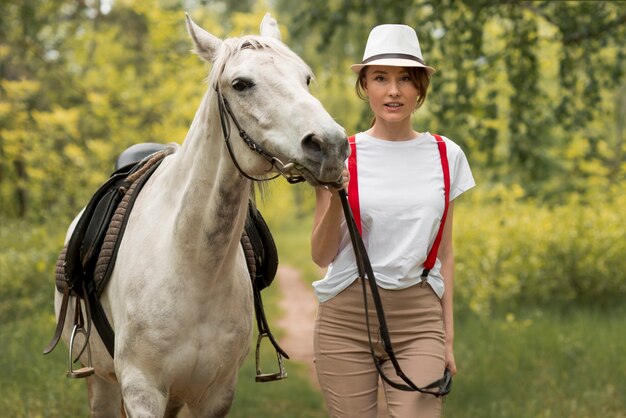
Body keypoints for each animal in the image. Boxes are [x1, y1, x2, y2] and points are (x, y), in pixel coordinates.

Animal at [53, 13, 346, 418]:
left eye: (305, 78)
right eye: (241, 84)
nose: (330, 145)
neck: (192, 265)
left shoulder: (215, 395)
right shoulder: (142, 390)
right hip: (102, 383)